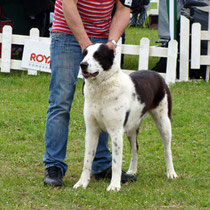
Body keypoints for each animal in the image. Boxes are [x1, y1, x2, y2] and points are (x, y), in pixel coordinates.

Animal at [74, 44, 177, 192]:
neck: (101, 87)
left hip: (164, 122)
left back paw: (171, 173)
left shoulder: (116, 132)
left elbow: (116, 162)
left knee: (167, 148)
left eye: (98, 55)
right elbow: (87, 160)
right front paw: (82, 183)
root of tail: (157, 74)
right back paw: (132, 171)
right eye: (84, 54)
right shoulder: (91, 131)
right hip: (131, 128)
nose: (83, 65)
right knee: (135, 148)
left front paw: (114, 186)